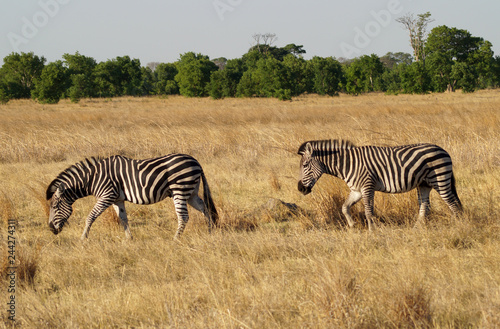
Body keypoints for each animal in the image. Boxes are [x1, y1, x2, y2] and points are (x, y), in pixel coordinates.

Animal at [46, 154, 218, 238]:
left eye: (54, 206)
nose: (50, 229)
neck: (93, 178)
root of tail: (195, 161)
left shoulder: (107, 196)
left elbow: (91, 217)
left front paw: (83, 238)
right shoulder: (117, 199)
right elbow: (123, 219)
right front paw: (129, 239)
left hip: (180, 190)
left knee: (183, 216)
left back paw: (175, 239)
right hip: (191, 192)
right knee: (204, 207)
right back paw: (210, 232)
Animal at [296, 140, 464, 229]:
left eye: (304, 165)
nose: (300, 188)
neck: (348, 164)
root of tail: (443, 150)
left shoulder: (367, 187)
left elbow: (368, 211)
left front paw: (372, 231)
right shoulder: (356, 190)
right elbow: (344, 207)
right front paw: (352, 225)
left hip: (440, 179)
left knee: (453, 203)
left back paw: (457, 227)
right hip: (424, 184)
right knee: (425, 206)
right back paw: (417, 229)